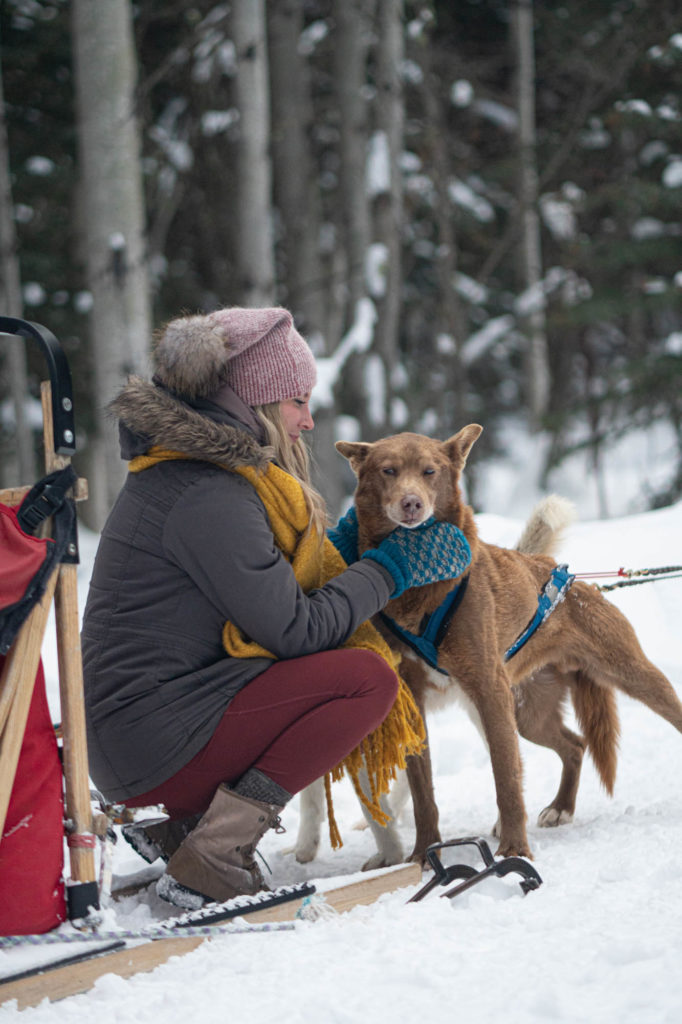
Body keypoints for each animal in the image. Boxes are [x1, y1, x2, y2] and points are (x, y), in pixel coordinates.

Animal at [337, 425, 679, 864]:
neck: (425, 587)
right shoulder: (414, 698)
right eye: (388, 470)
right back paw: (561, 807)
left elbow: (506, 779)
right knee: (575, 745)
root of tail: (571, 580)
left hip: (629, 674)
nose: (411, 503)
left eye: (430, 471)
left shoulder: (487, 688)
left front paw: (514, 850)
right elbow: (422, 792)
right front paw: (424, 853)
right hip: (527, 712)